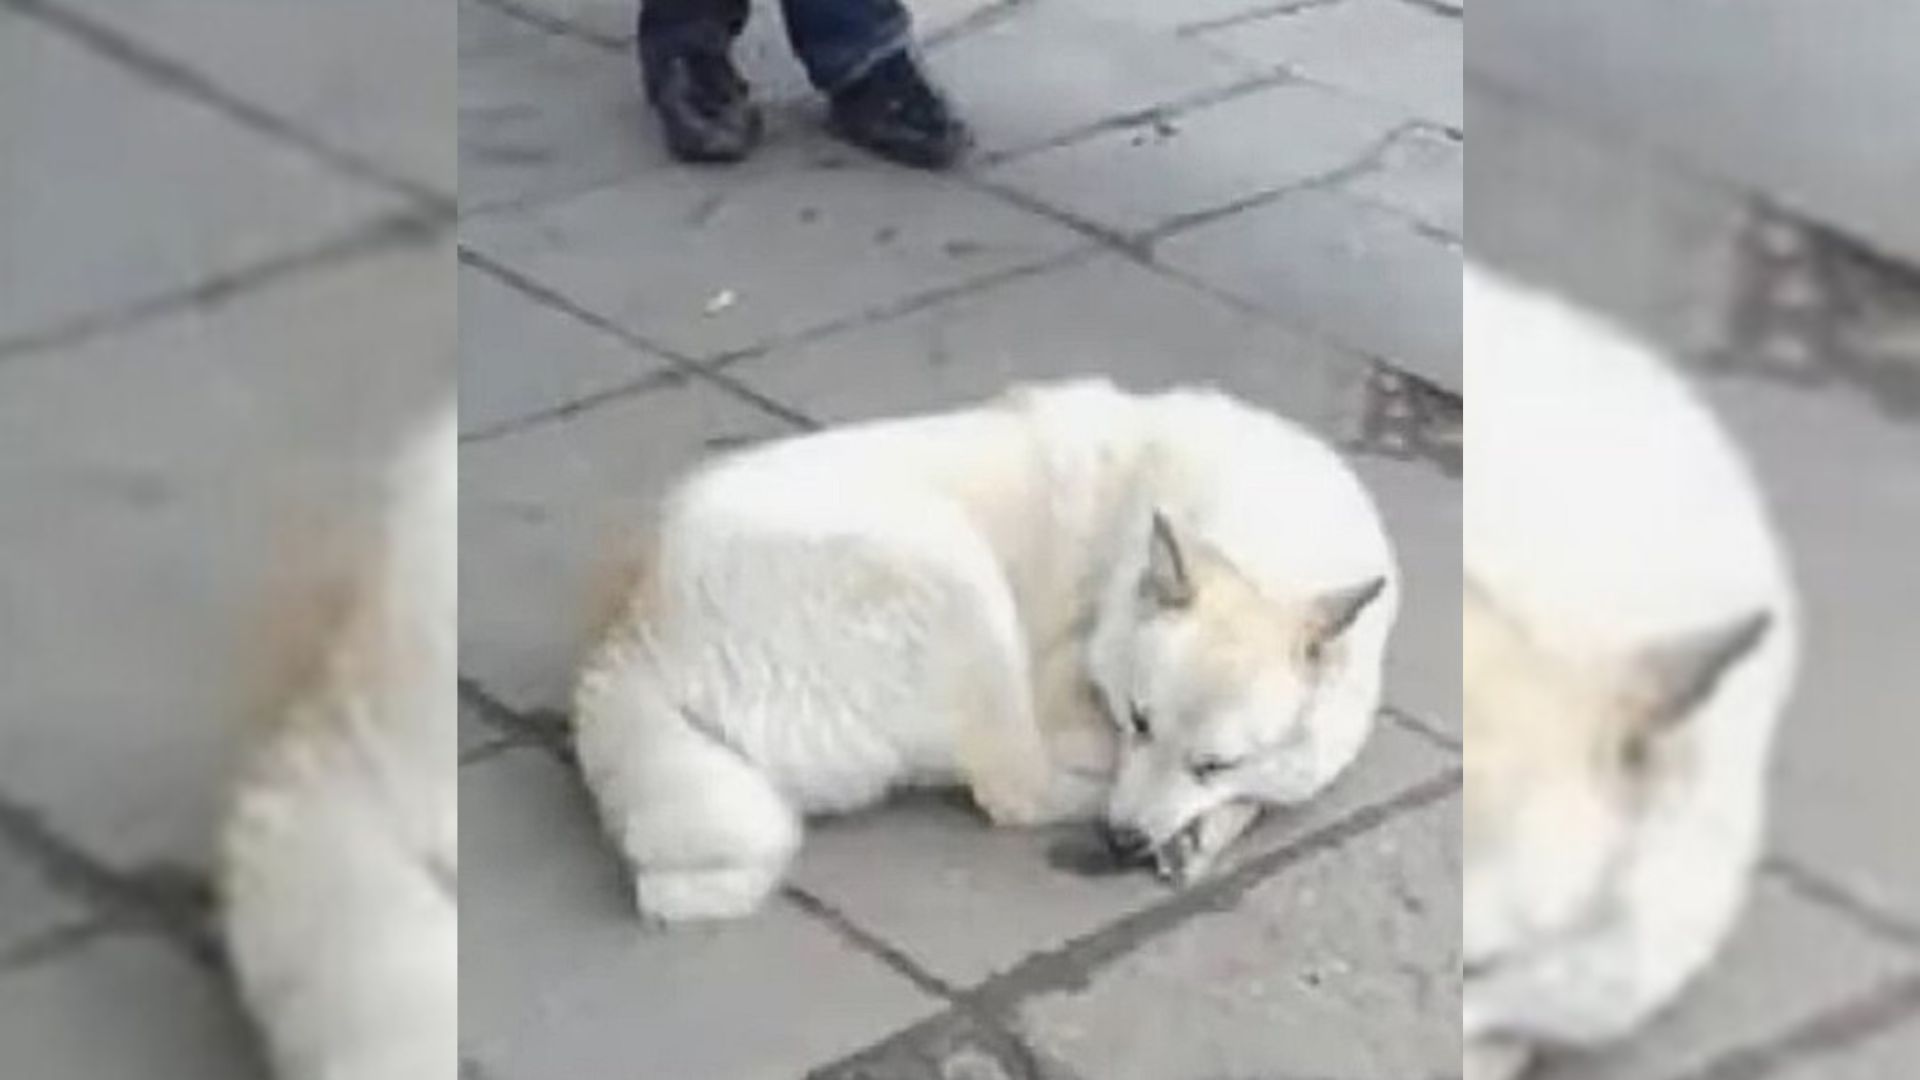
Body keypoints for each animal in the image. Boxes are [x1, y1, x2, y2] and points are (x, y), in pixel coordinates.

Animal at [568, 378, 1397, 914]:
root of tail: (633, 639)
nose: (1120, 840)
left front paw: (1208, 824)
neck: (1268, 538)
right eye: (1137, 721)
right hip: (954, 572)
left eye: (1213, 762)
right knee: (1014, 789)